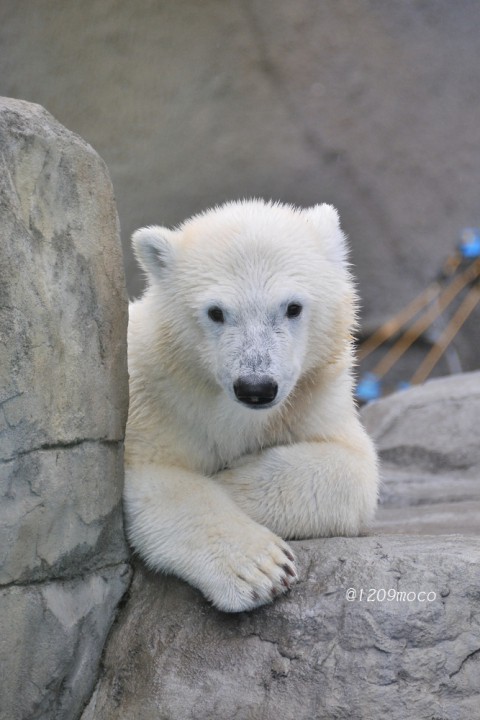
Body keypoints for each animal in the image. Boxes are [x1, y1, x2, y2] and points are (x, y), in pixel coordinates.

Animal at [124, 198, 378, 612]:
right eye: (215, 312)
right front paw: (262, 571)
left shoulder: (314, 395)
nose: (255, 387)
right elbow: (156, 476)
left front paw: (230, 478)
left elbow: (354, 468)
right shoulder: (153, 400)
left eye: (293, 307)